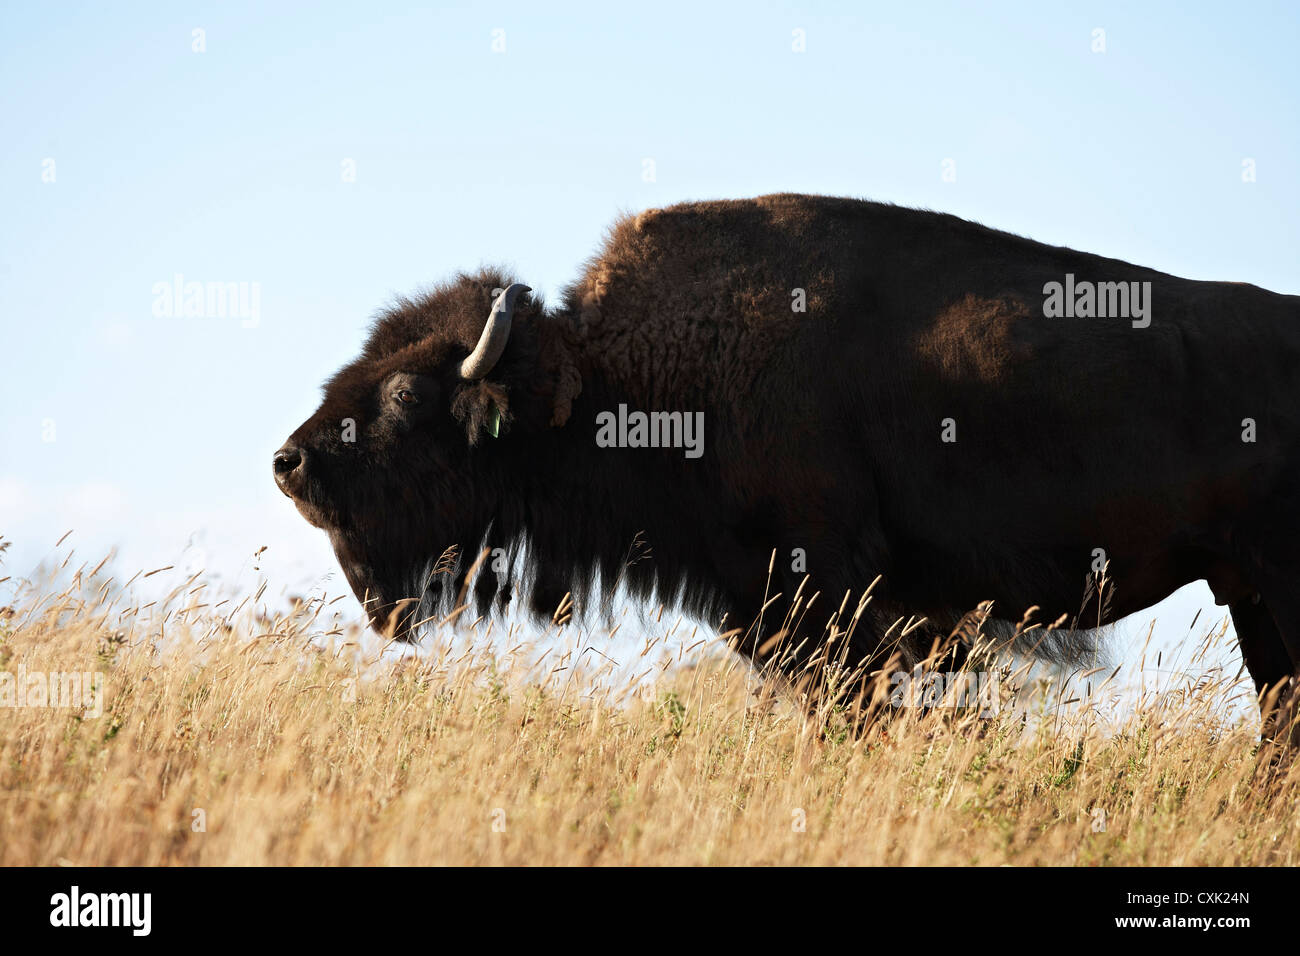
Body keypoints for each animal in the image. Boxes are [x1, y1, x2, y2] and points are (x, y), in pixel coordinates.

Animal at [274, 195, 1300, 743]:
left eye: (406, 396)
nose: (290, 465)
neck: (625, 382)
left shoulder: (833, 601)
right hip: (1246, 592)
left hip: (1273, 585)